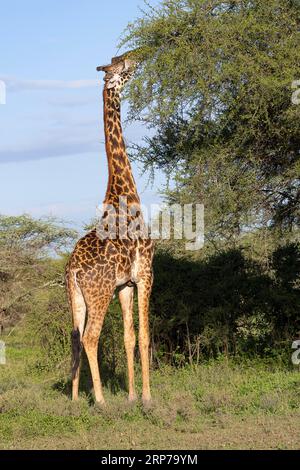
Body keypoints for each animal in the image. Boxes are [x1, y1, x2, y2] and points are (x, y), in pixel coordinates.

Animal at [66, 53, 155, 406]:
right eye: (125, 65)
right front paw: (147, 397)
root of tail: (73, 269)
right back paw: (101, 400)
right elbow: (144, 335)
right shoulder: (145, 272)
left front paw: (131, 396)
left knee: (75, 337)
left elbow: (129, 337)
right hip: (98, 293)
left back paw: (76, 400)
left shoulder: (125, 285)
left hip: (76, 296)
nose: (140, 56)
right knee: (91, 338)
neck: (124, 190)